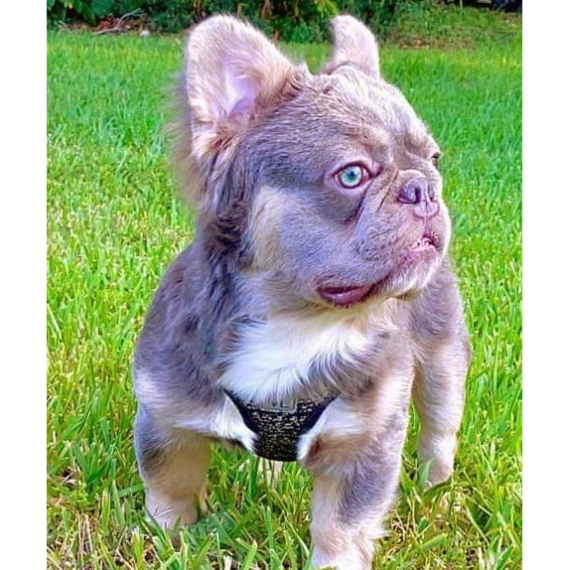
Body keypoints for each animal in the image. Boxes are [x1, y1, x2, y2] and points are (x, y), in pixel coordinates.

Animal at [133, 14, 470, 569]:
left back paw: (436, 493)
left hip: (444, 358)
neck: (298, 321)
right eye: (351, 175)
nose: (423, 187)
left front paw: (336, 560)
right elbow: (170, 486)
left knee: (441, 430)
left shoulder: (366, 444)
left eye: (435, 158)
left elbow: (342, 527)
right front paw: (170, 540)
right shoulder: (165, 415)